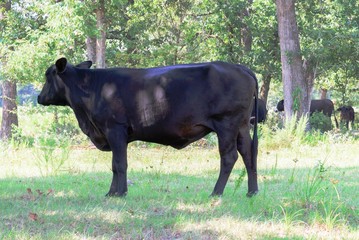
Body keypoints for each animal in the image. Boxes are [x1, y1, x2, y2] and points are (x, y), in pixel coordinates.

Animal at [38, 57, 260, 197]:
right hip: (242, 126)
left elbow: (119, 164)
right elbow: (114, 165)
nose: (39, 97)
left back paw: (216, 192)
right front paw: (111, 192)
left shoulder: (115, 129)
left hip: (227, 123)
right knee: (248, 154)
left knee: (229, 157)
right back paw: (252, 191)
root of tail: (241, 68)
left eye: (48, 76)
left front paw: (120, 193)